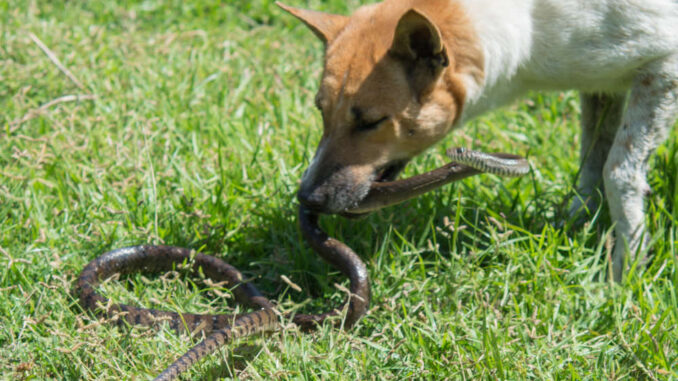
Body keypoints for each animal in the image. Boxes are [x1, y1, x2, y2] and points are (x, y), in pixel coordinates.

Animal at [278, 0, 678, 280]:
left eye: (371, 121)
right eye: (320, 110)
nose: (307, 198)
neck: (531, 25)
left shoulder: (663, 68)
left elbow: (618, 171)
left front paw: (624, 272)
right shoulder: (600, 84)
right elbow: (591, 160)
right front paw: (577, 222)